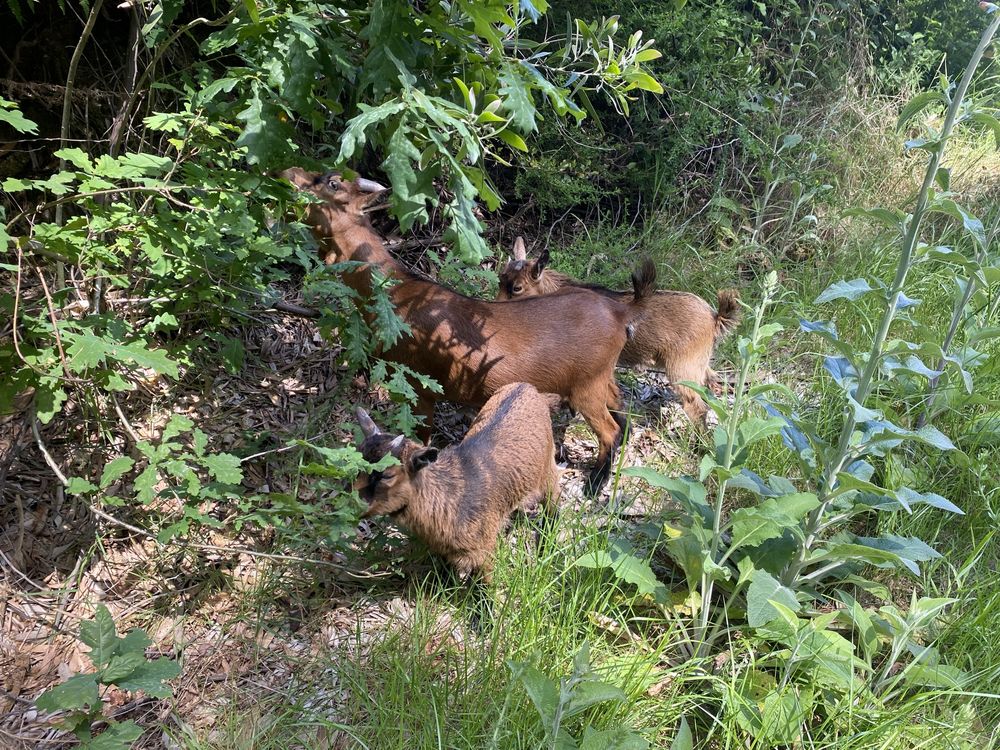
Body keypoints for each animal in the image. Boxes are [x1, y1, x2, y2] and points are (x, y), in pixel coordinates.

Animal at [282, 171, 656, 500]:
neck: (395, 292)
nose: (288, 172)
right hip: (599, 377)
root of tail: (622, 312)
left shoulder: (418, 385)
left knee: (608, 430)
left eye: (331, 183)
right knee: (620, 405)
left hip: (585, 386)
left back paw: (595, 484)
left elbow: (418, 437)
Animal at [356, 384, 564, 584]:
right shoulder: (444, 550)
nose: (355, 504)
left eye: (387, 475)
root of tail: (531, 389)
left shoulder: (484, 547)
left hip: (548, 470)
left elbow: (485, 583)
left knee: (554, 503)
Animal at [496, 238, 740, 424]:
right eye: (499, 278)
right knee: (712, 385)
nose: (497, 308)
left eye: (517, 288)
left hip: (683, 367)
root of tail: (714, 317)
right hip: (700, 363)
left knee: (696, 405)